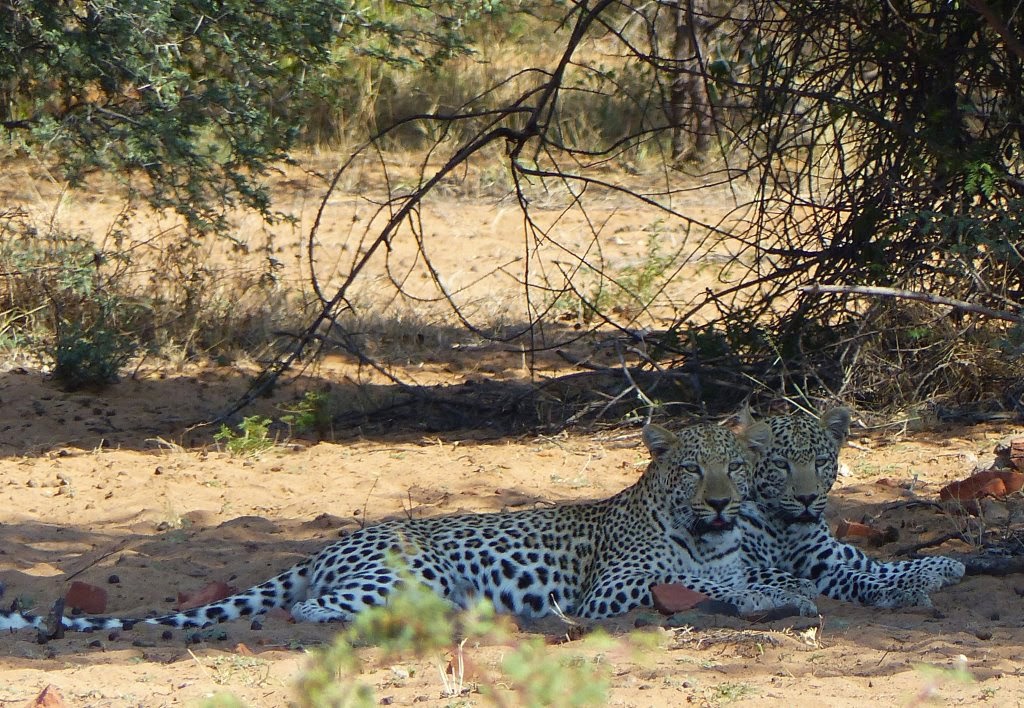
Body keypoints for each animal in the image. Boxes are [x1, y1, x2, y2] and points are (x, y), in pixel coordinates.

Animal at [0, 420, 815, 635]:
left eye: (736, 468)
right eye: (691, 471)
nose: (720, 503)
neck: (711, 537)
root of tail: (329, 543)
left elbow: (750, 582)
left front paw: (791, 597)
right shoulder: (607, 594)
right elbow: (700, 587)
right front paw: (768, 600)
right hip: (415, 568)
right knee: (312, 608)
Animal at [737, 403, 958, 610]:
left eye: (820, 462)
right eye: (781, 464)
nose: (807, 498)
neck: (784, 529)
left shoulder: (825, 565)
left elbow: (862, 578)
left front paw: (902, 593)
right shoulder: (735, 567)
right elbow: (769, 572)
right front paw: (797, 585)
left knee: (872, 564)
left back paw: (940, 567)